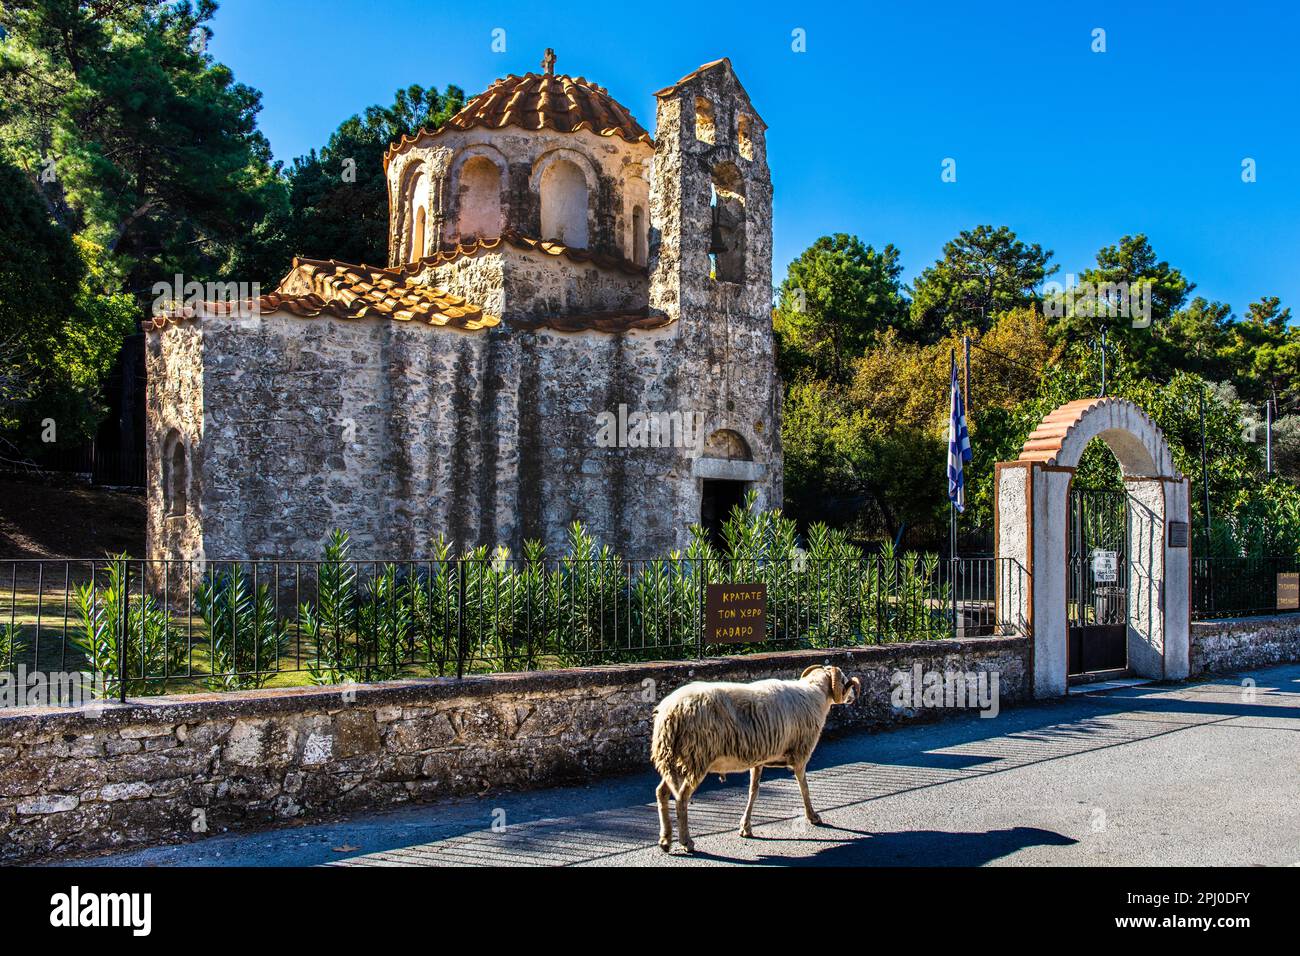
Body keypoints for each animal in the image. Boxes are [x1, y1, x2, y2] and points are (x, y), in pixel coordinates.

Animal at [655, 665, 857, 853]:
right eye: (844, 680)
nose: (853, 697)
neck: (815, 694)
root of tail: (670, 712)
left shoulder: (758, 760)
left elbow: (754, 791)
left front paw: (745, 827)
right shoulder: (800, 756)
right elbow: (804, 789)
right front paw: (812, 816)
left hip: (676, 760)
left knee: (662, 792)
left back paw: (665, 839)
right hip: (696, 758)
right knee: (681, 798)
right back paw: (686, 842)